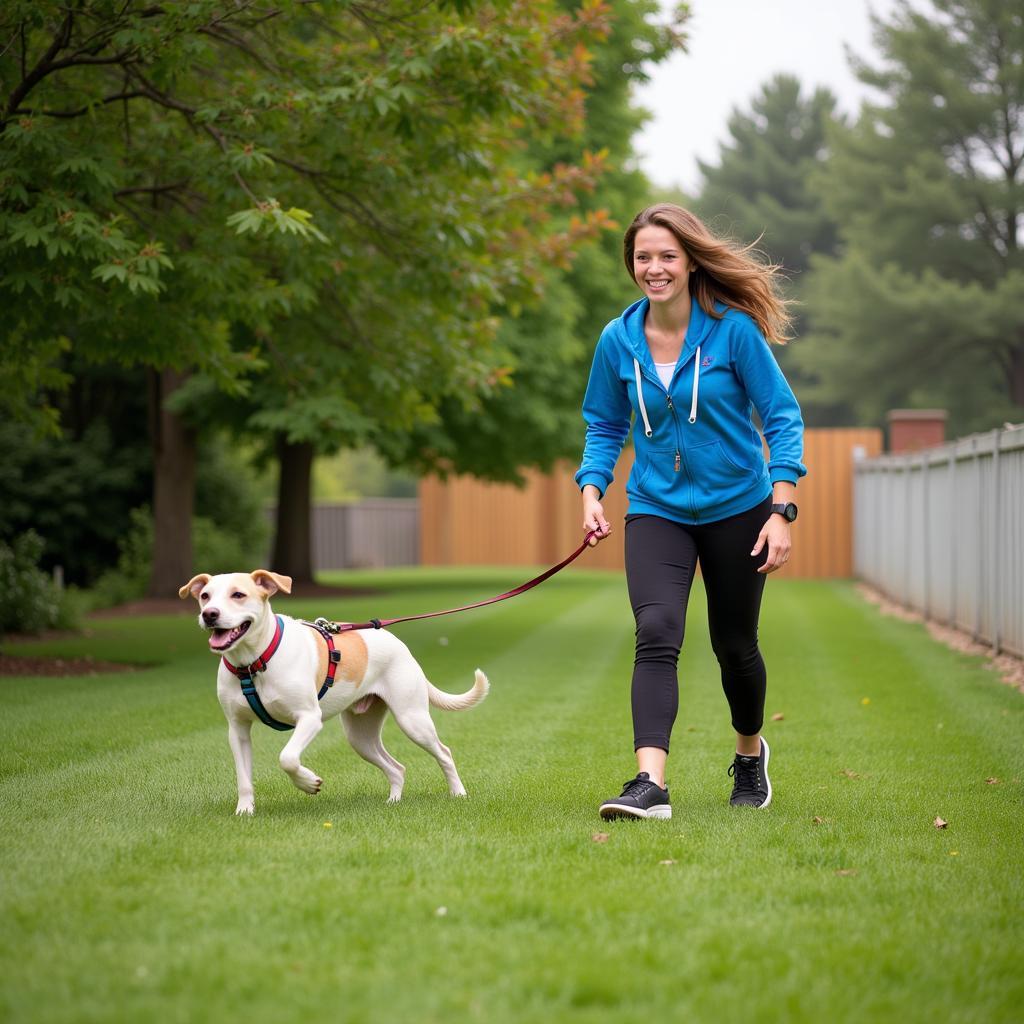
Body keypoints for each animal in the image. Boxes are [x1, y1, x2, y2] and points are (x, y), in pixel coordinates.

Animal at [178, 569, 489, 815]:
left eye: (238, 595)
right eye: (205, 596)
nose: (209, 614)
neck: (254, 663)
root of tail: (401, 646)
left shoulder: (308, 718)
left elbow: (287, 757)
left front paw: (308, 783)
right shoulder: (238, 729)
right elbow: (244, 778)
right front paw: (244, 811)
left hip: (412, 719)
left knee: (444, 753)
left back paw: (458, 793)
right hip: (359, 736)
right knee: (396, 767)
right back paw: (393, 801)